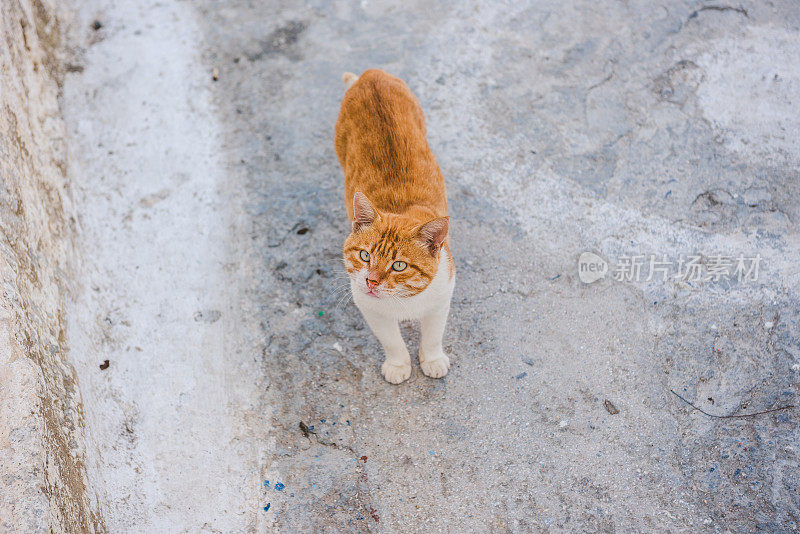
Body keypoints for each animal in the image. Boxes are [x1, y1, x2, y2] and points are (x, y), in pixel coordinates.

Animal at [332, 70, 456, 386]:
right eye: (365, 256)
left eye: (399, 265)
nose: (371, 282)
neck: (404, 301)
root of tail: (370, 75)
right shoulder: (370, 309)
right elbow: (392, 341)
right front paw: (399, 365)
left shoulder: (442, 300)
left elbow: (433, 335)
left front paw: (432, 359)